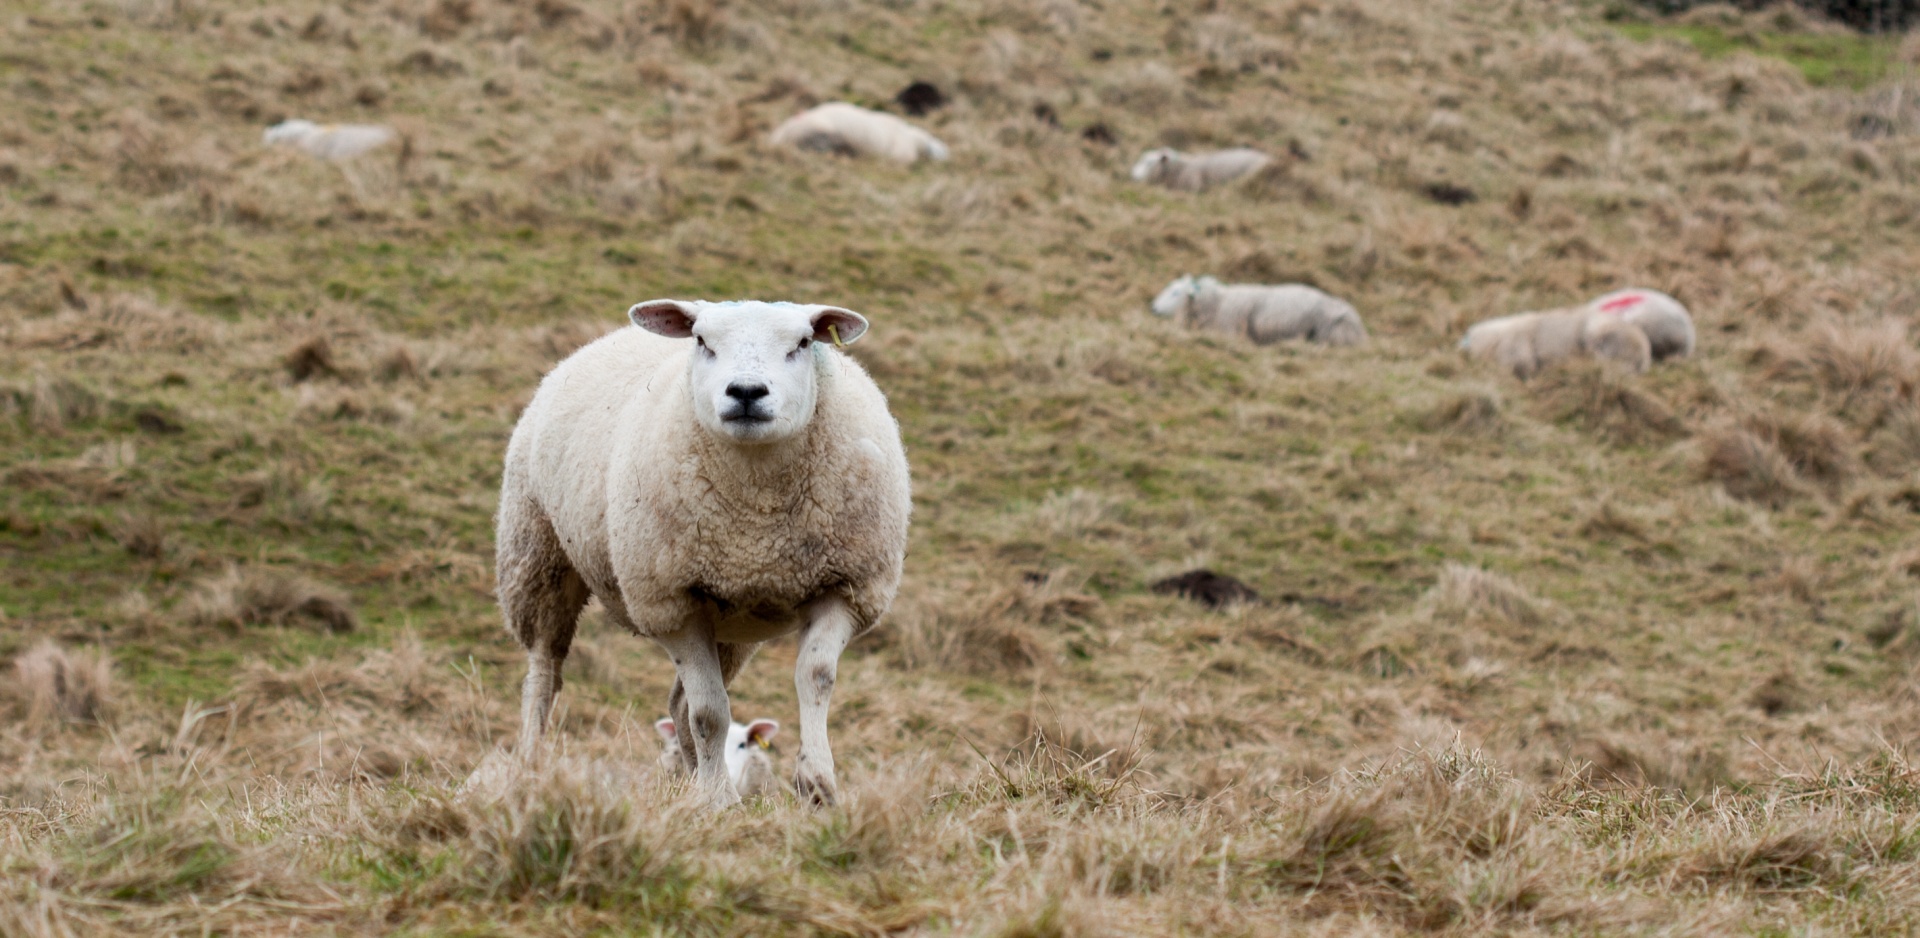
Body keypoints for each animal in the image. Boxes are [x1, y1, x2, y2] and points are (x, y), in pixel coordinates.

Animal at [495, 301, 913, 813]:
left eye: (803, 343)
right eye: (701, 341)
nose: (747, 392)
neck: (756, 513)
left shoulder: (845, 588)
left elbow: (814, 678)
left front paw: (816, 786)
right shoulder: (673, 603)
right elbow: (710, 712)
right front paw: (719, 799)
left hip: (731, 625)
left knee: (678, 704)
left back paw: (693, 780)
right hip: (537, 553)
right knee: (545, 673)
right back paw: (531, 767)